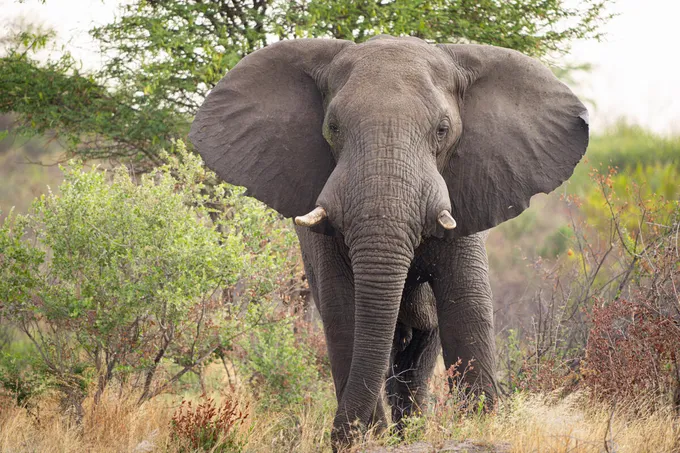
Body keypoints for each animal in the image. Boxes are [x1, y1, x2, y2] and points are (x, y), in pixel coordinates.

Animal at [189, 35, 588, 448]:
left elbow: (467, 305)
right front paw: (368, 438)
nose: (337, 437)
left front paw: (482, 425)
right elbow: (342, 312)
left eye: (442, 130)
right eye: (333, 127)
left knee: (419, 352)